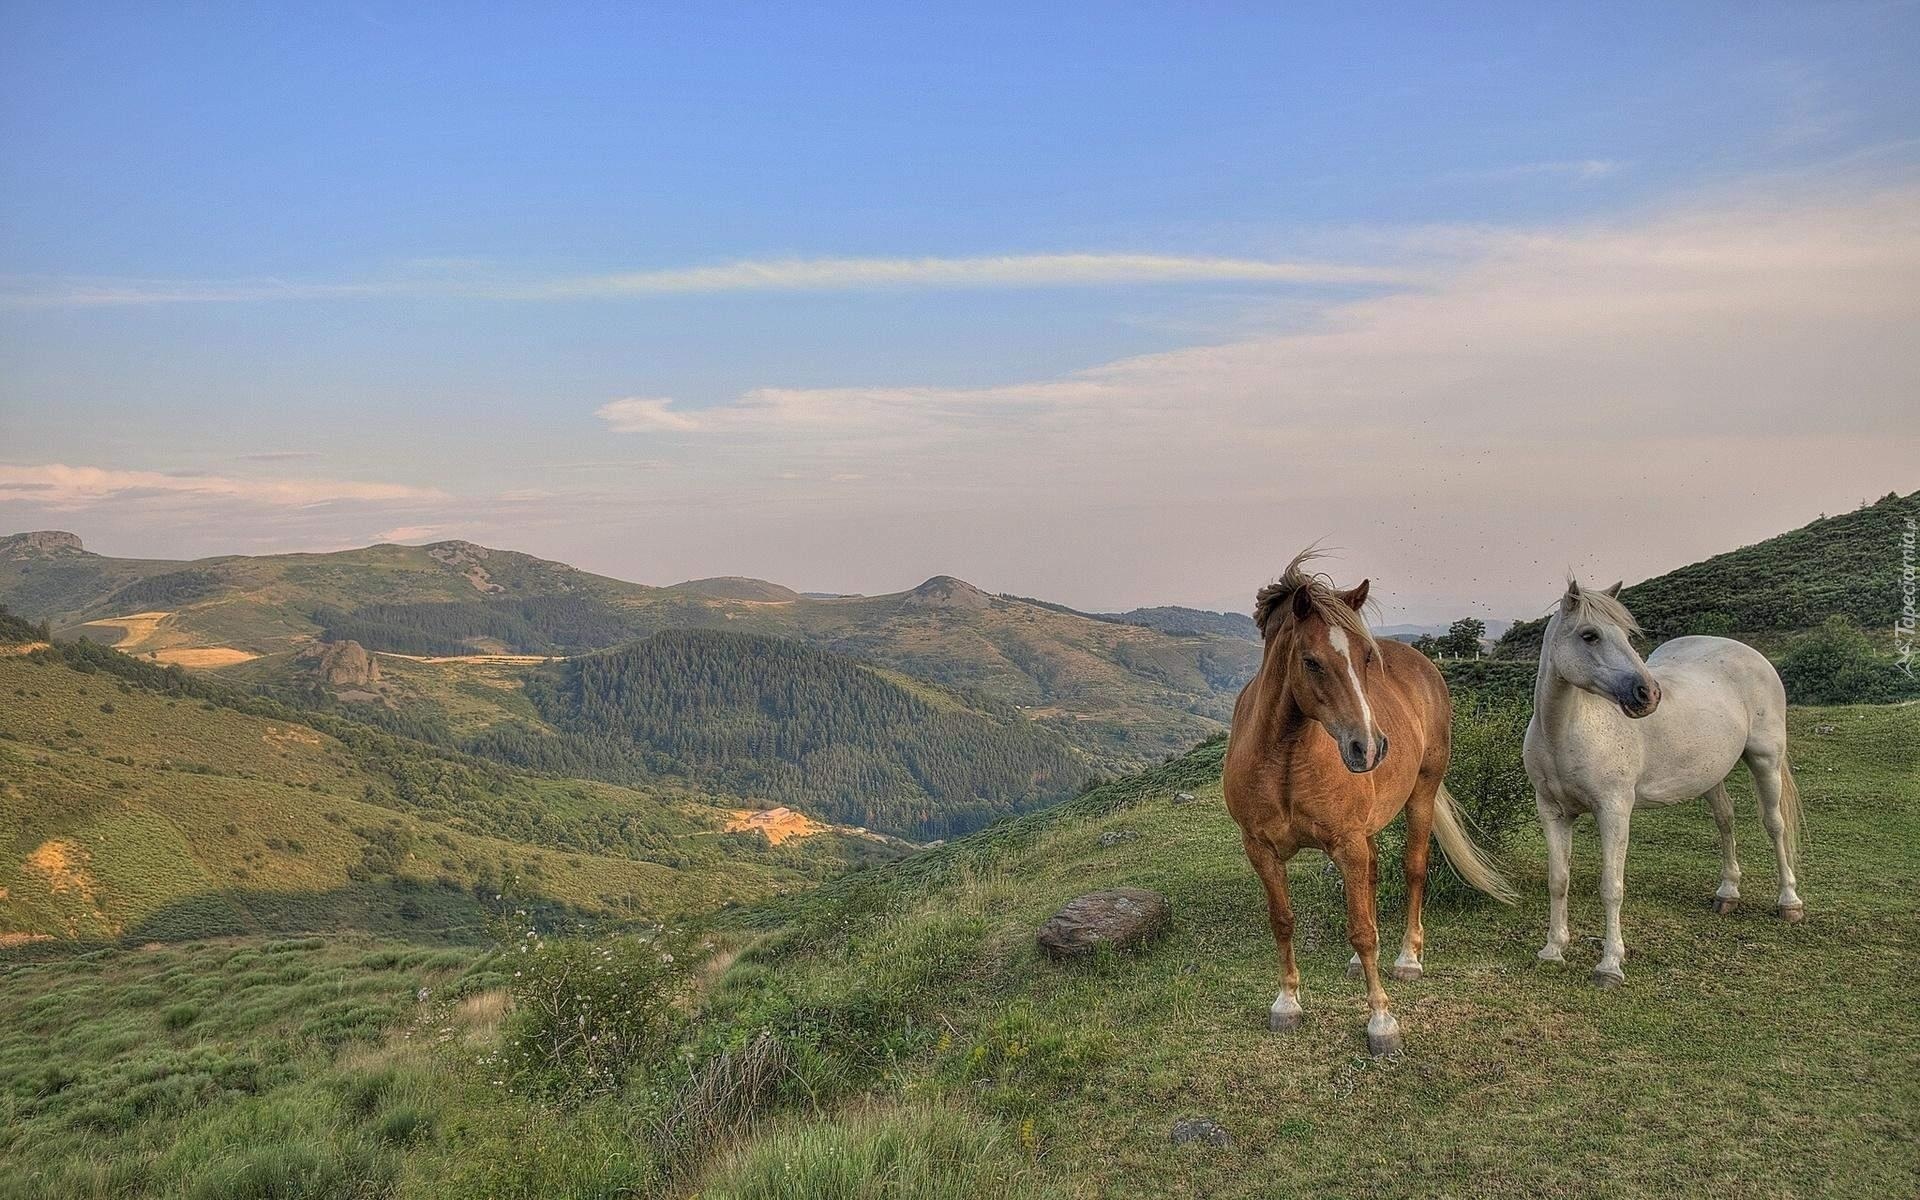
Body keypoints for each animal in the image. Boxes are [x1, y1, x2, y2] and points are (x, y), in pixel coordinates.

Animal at [1228, 552, 1512, 1044]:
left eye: (1365, 657)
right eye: (1311, 661)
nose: (1371, 747)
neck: (1284, 758)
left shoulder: (1346, 844)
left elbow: (1361, 931)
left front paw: (1381, 1019)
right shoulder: (1261, 849)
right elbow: (1282, 921)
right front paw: (1287, 1003)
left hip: (1422, 794)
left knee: (1414, 869)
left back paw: (1408, 958)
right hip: (1368, 829)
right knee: (1375, 876)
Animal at [1520, 579, 1804, 983]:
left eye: (1626, 634)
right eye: (1589, 635)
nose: (1648, 694)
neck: (1565, 732)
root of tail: (1749, 654)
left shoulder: (1614, 811)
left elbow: (1611, 887)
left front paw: (1610, 965)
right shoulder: (1553, 812)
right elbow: (1558, 879)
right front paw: (1553, 949)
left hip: (1766, 760)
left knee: (1774, 825)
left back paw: (1789, 902)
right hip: (1710, 774)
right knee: (1726, 819)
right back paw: (1727, 894)